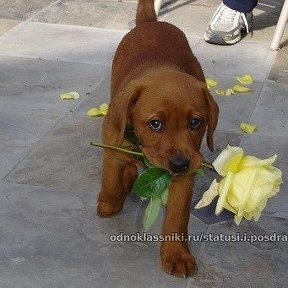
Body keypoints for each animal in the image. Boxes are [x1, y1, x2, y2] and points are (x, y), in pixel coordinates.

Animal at [97, 0, 218, 280]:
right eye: (155, 124)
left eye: (195, 123)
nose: (180, 164)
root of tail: (151, 22)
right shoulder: (112, 144)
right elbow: (110, 178)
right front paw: (109, 202)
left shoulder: (186, 172)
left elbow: (177, 217)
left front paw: (177, 255)